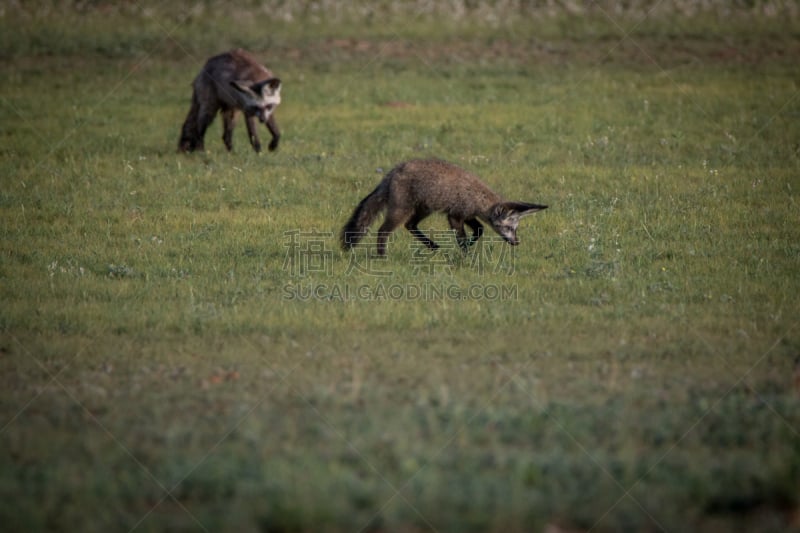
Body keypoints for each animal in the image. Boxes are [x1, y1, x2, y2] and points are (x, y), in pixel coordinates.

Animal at [340, 158, 548, 256]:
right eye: (509, 228)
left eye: (515, 229)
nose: (516, 242)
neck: (477, 196)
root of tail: (394, 171)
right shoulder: (455, 216)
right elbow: (463, 238)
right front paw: (466, 256)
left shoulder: (466, 214)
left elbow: (479, 230)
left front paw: (470, 246)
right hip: (401, 211)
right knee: (383, 231)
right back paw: (382, 256)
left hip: (424, 209)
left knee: (410, 225)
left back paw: (432, 245)